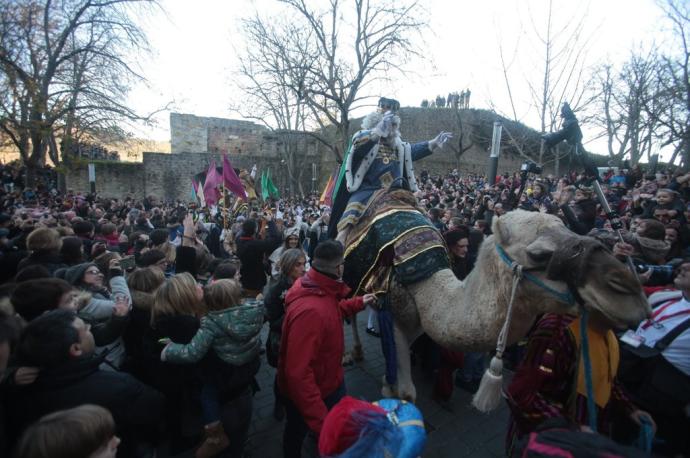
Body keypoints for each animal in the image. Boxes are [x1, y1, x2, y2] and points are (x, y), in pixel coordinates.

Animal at [344, 207, 652, 404]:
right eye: (538, 254)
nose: (628, 289)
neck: (426, 281)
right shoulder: (395, 312)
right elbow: (406, 391)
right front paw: (391, 388)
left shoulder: (418, 321)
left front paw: (389, 382)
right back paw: (352, 352)